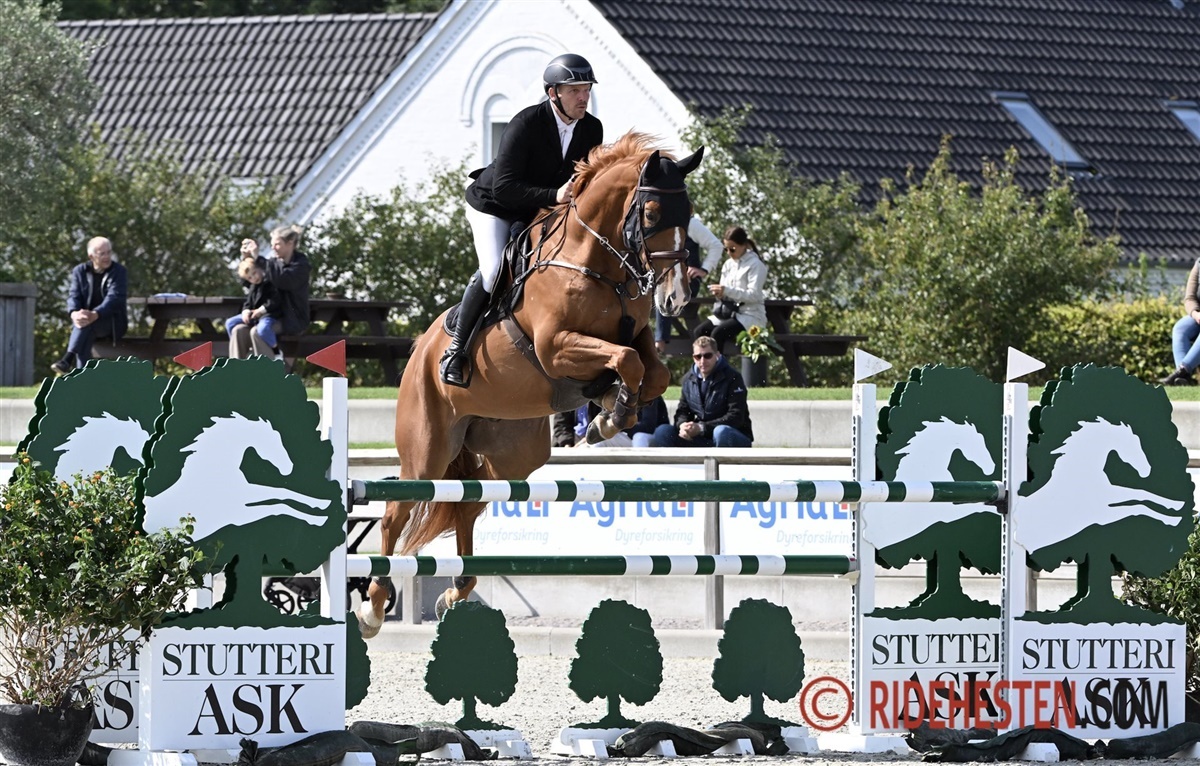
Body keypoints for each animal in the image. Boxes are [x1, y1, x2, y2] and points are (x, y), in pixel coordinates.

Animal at [142, 412, 333, 541]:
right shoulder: (239, 515)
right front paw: (318, 519)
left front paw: (322, 504)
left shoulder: (246, 494)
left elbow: (282, 492)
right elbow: (279, 506)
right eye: (272, 442)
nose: (289, 468)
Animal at [358, 132, 703, 636]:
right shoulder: (555, 346)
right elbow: (628, 360)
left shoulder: (633, 335)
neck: (594, 262)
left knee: (468, 502)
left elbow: (649, 369)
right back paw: (374, 606)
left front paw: (607, 411)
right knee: (394, 514)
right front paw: (610, 414)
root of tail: (420, 350)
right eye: (653, 213)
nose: (675, 298)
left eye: (689, 213)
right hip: (426, 450)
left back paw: (454, 592)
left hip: (513, 452)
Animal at [1015, 416, 1185, 555]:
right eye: (1132, 445)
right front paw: (1173, 520)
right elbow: (1138, 507)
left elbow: (1141, 493)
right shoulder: (1103, 515)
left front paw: (1177, 505)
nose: (1146, 470)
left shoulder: (1109, 496)